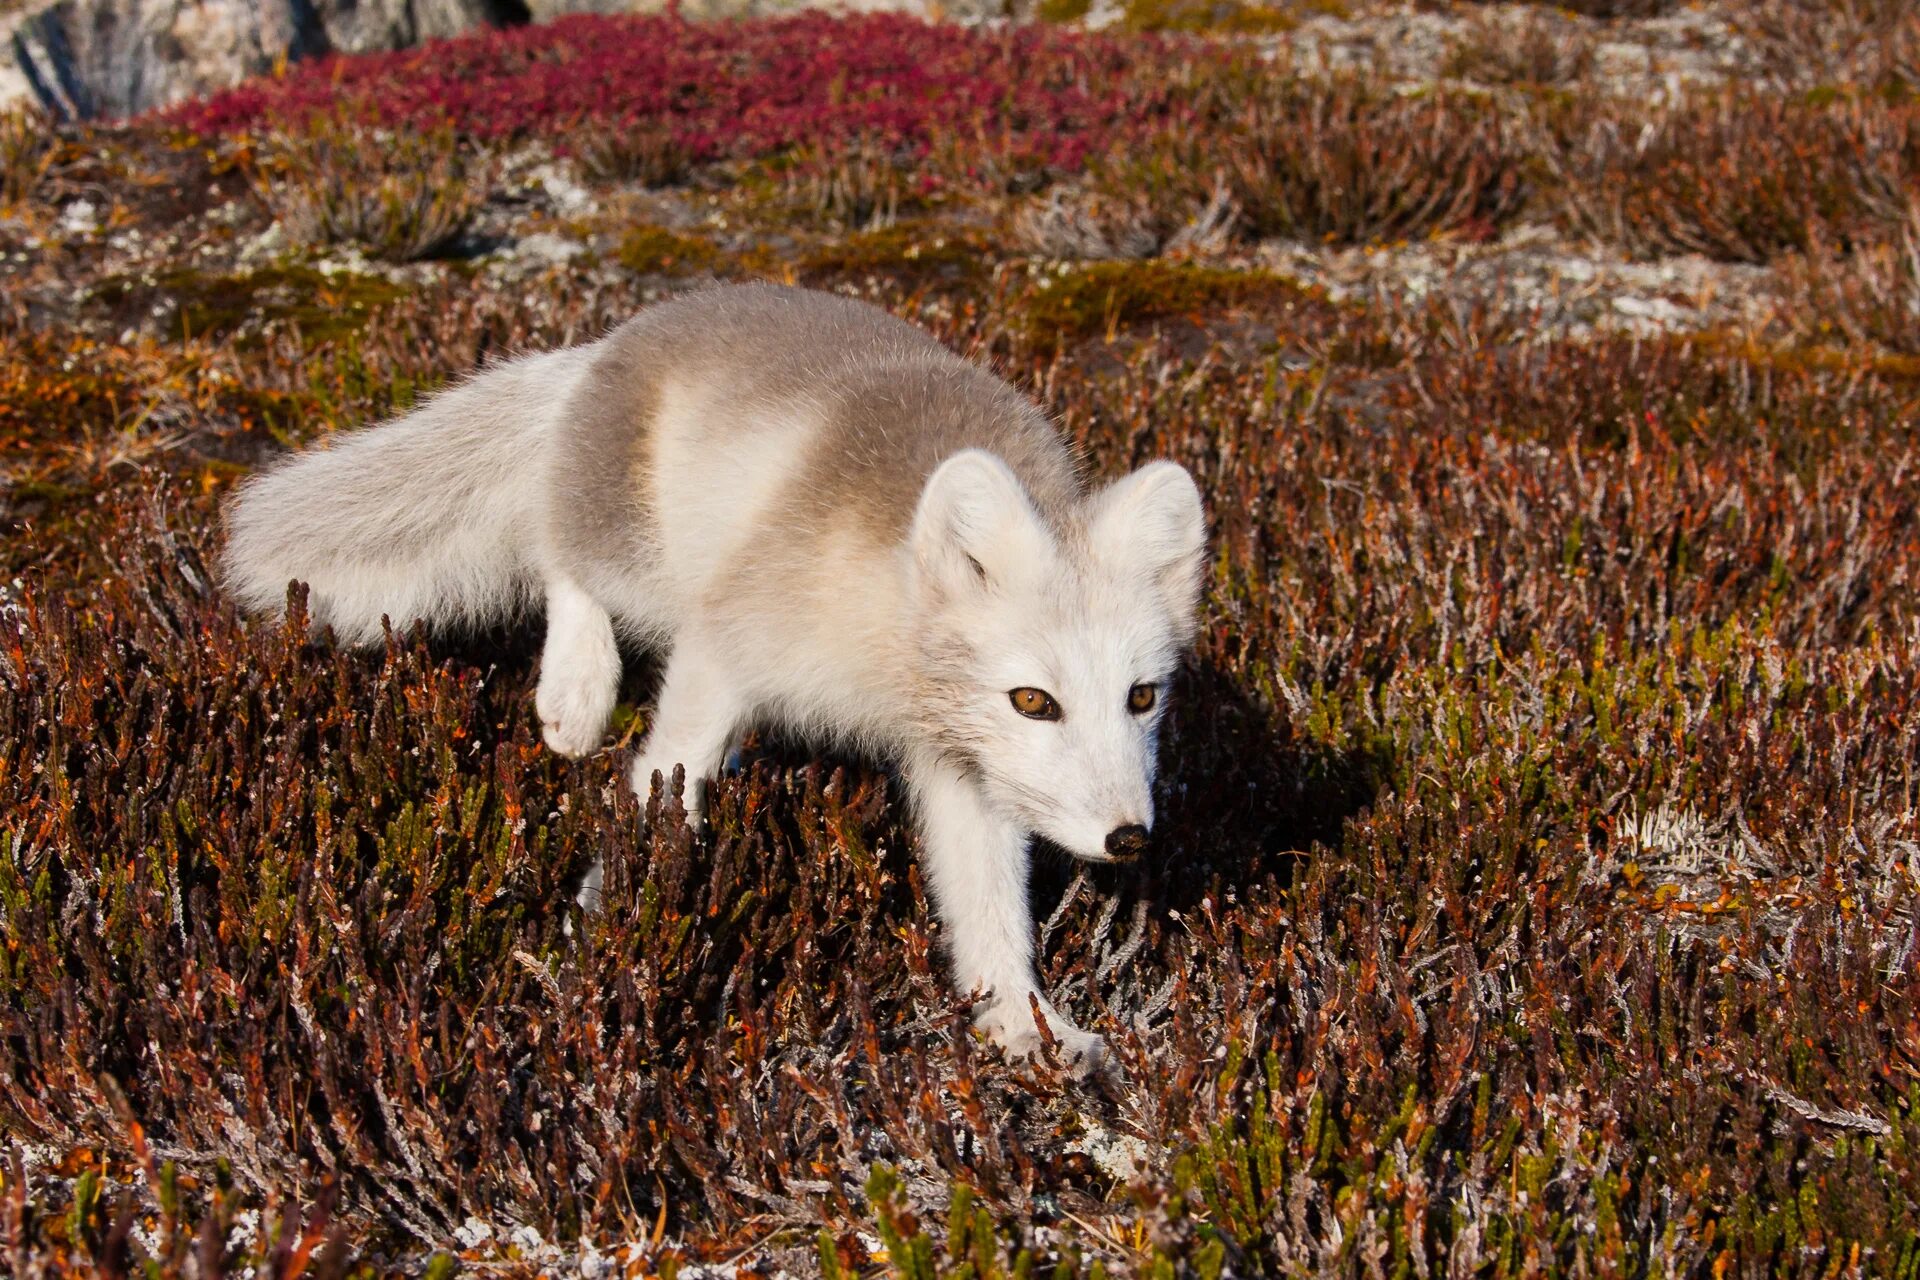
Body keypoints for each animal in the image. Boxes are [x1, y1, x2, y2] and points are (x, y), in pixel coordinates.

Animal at [220, 282, 1198, 1074]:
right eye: (1035, 700)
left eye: (1141, 697)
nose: (1128, 839)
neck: (883, 646)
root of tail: (608, 343)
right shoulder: (727, 642)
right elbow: (663, 777)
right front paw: (611, 935)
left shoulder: (962, 762)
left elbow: (990, 906)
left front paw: (1028, 1026)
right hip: (640, 558)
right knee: (557, 551)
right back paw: (575, 693)